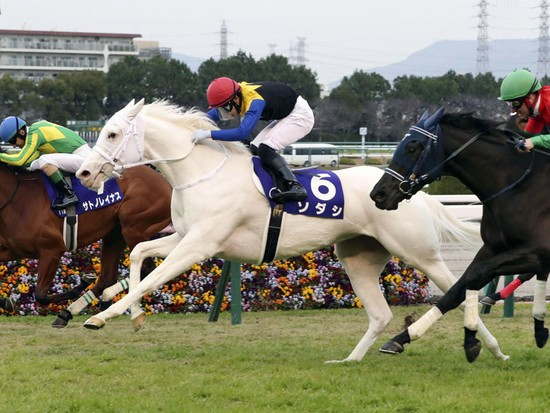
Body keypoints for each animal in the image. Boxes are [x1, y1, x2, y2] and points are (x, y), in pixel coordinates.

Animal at [0, 163, 171, 326]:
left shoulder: (52, 249)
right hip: (114, 234)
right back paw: (70, 313)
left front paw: (81, 284)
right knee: (107, 278)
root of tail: (166, 182)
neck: (18, 199)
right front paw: (6, 302)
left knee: (148, 269)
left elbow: (41, 295)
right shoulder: (10, 249)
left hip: (134, 228)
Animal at [76, 99, 508, 360]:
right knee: (381, 313)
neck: (201, 172)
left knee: (456, 289)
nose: (84, 173)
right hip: (358, 256)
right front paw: (132, 315)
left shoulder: (200, 244)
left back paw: (492, 348)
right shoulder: (184, 237)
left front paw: (102, 316)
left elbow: (153, 278)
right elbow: (138, 253)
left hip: (419, 252)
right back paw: (351, 360)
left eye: (112, 134)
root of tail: (407, 188)